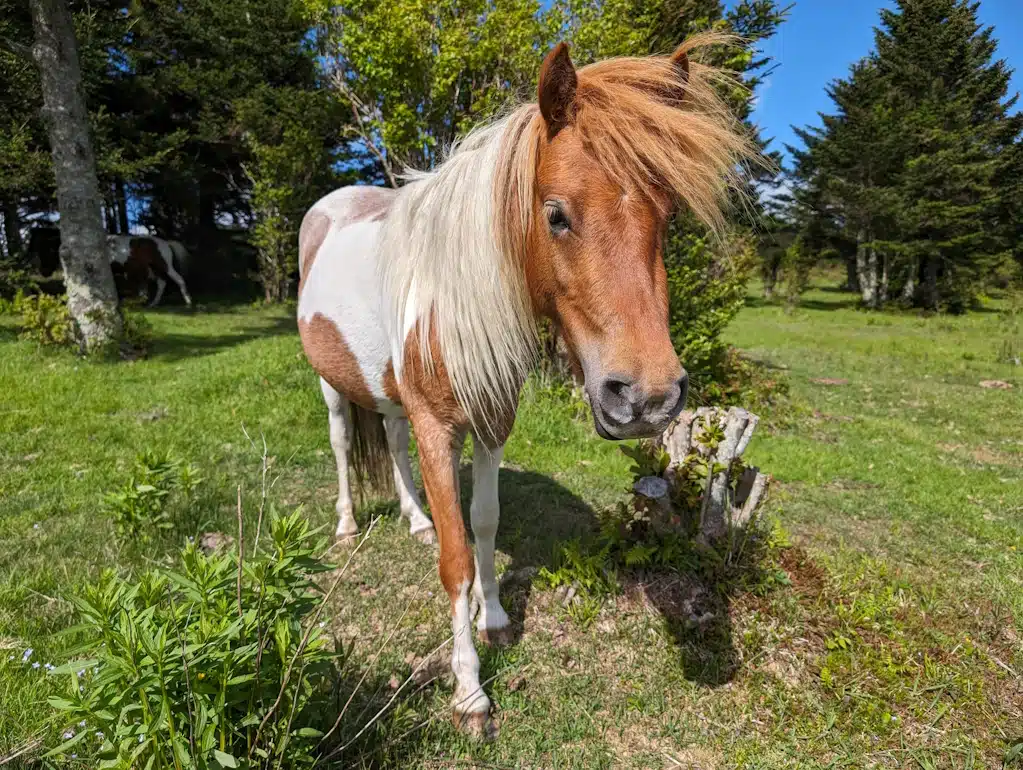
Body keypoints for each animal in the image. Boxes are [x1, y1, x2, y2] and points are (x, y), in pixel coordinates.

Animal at [28, 226, 191, 306]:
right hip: (154, 268)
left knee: (179, 280)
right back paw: (153, 304)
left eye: (48, 249)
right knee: (161, 284)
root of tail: (165, 243)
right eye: (36, 249)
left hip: (164, 266)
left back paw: (188, 302)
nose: (44, 272)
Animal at [297, 34, 755, 737]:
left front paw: (494, 618)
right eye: (557, 214)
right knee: (345, 442)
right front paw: (469, 690)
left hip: (387, 392)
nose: (648, 397)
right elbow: (456, 561)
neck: (453, 296)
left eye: (668, 215)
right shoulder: (439, 427)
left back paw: (414, 518)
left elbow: (484, 525)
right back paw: (349, 525)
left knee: (393, 445)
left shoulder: (491, 421)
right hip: (331, 384)